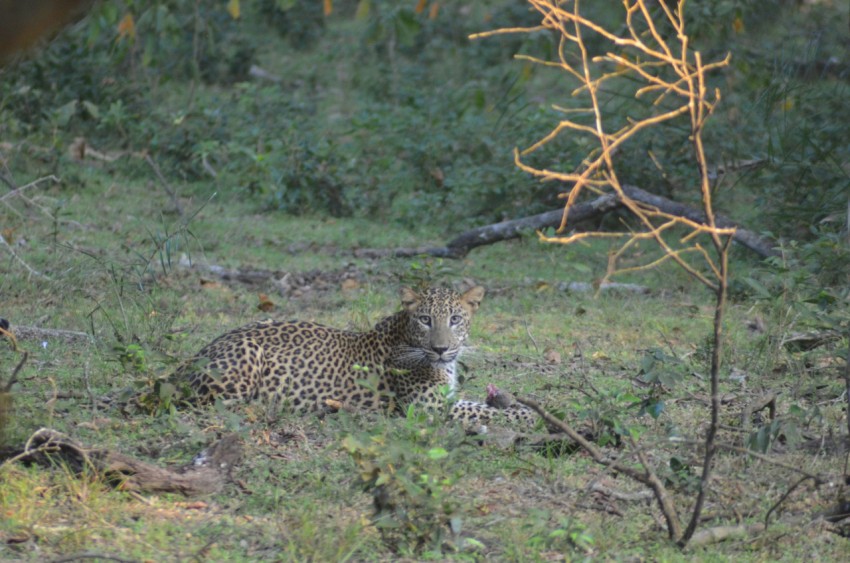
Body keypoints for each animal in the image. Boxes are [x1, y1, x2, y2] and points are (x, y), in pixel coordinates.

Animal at [169, 286, 532, 428]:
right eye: (425, 319)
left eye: (455, 319)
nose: (441, 348)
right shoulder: (426, 409)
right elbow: (487, 413)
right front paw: (531, 417)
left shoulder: (448, 399)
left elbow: (484, 405)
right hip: (245, 358)